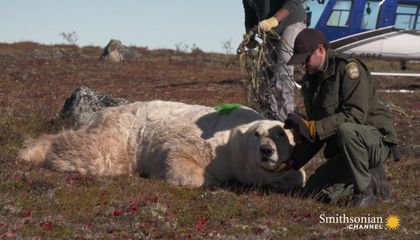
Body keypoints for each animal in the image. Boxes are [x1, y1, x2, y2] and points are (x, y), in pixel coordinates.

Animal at [18, 100, 306, 190]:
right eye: (258, 134)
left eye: (282, 135)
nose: (266, 150)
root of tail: (104, 111)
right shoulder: (210, 144)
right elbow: (179, 154)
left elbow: (297, 175)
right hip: (123, 134)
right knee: (94, 153)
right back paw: (32, 152)